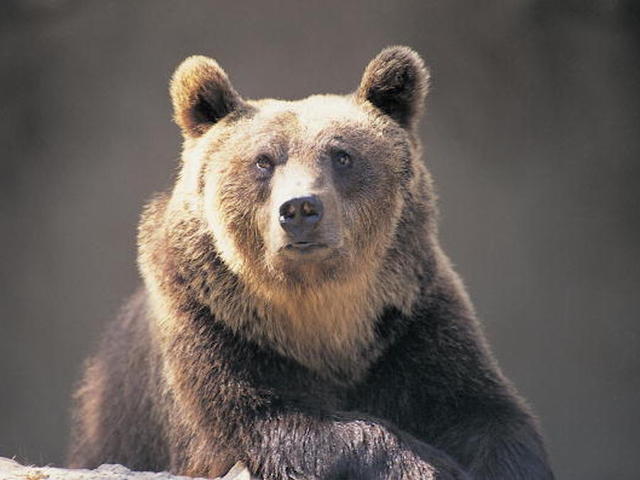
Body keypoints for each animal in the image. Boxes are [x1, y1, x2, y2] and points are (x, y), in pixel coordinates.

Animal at [68, 46, 554, 480]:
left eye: (342, 155)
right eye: (263, 160)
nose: (301, 207)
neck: (318, 313)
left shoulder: (412, 324)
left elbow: (483, 411)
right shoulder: (211, 324)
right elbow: (264, 420)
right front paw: (426, 466)